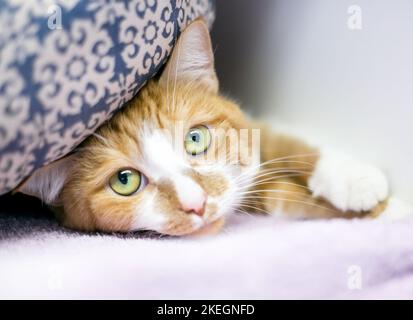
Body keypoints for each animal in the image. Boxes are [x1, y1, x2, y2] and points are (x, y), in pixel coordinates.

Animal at [15, 19, 396, 235]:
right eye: (125, 181)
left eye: (195, 138)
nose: (196, 204)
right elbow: (283, 197)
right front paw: (384, 211)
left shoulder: (253, 128)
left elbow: (288, 144)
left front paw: (358, 182)